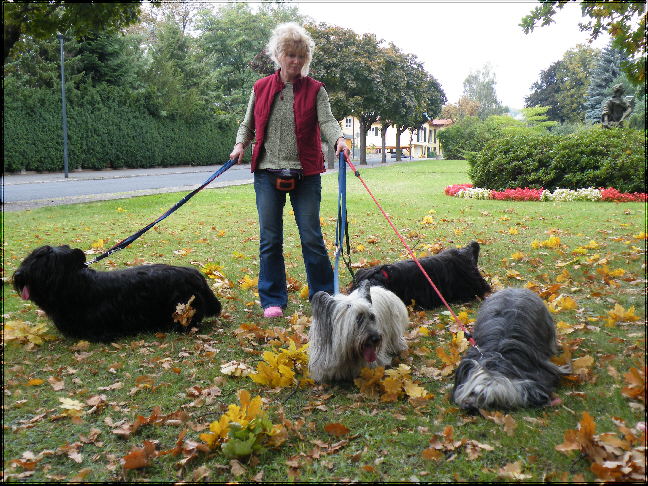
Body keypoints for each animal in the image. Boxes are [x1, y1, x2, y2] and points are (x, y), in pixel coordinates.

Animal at [13, 243, 223, 342]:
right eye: (31, 257)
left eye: (46, 263)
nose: (19, 275)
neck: (77, 285)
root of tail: (195, 274)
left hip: (183, 306)